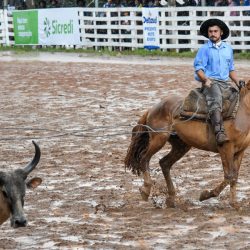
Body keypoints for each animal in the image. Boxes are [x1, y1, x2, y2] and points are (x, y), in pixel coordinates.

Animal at [126, 79, 250, 207]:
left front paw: (234, 203)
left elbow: (234, 177)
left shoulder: (240, 151)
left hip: (181, 146)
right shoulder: (225, 148)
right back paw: (146, 189)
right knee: (144, 158)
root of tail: (152, 108)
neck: (241, 113)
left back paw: (171, 199)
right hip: (158, 139)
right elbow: (229, 176)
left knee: (164, 163)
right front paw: (205, 195)